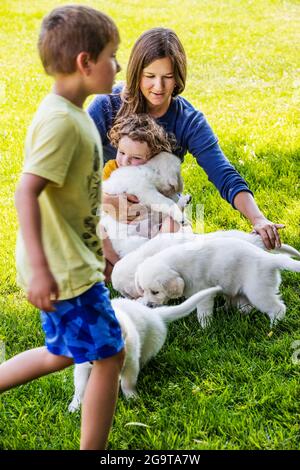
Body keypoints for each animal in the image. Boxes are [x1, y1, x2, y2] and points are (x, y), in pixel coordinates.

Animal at [69, 284, 221, 410]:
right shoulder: (82, 367)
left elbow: (127, 383)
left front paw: (132, 398)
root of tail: (154, 313)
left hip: (149, 348)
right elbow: (80, 387)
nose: (91, 361)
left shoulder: (131, 363)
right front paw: (76, 405)